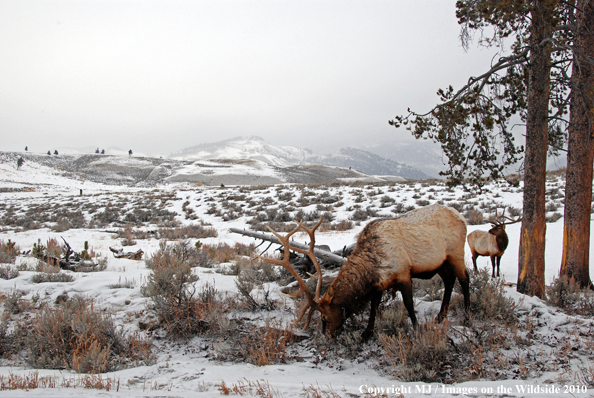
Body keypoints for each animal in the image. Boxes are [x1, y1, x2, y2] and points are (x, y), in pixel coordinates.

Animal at [262, 205, 470, 342]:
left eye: (324, 317)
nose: (327, 336)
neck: (372, 267)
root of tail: (461, 217)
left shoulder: (403, 273)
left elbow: (409, 305)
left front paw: (417, 330)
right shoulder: (380, 284)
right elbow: (374, 307)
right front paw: (366, 333)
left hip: (456, 253)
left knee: (465, 279)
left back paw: (467, 318)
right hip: (441, 262)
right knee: (449, 281)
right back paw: (441, 316)